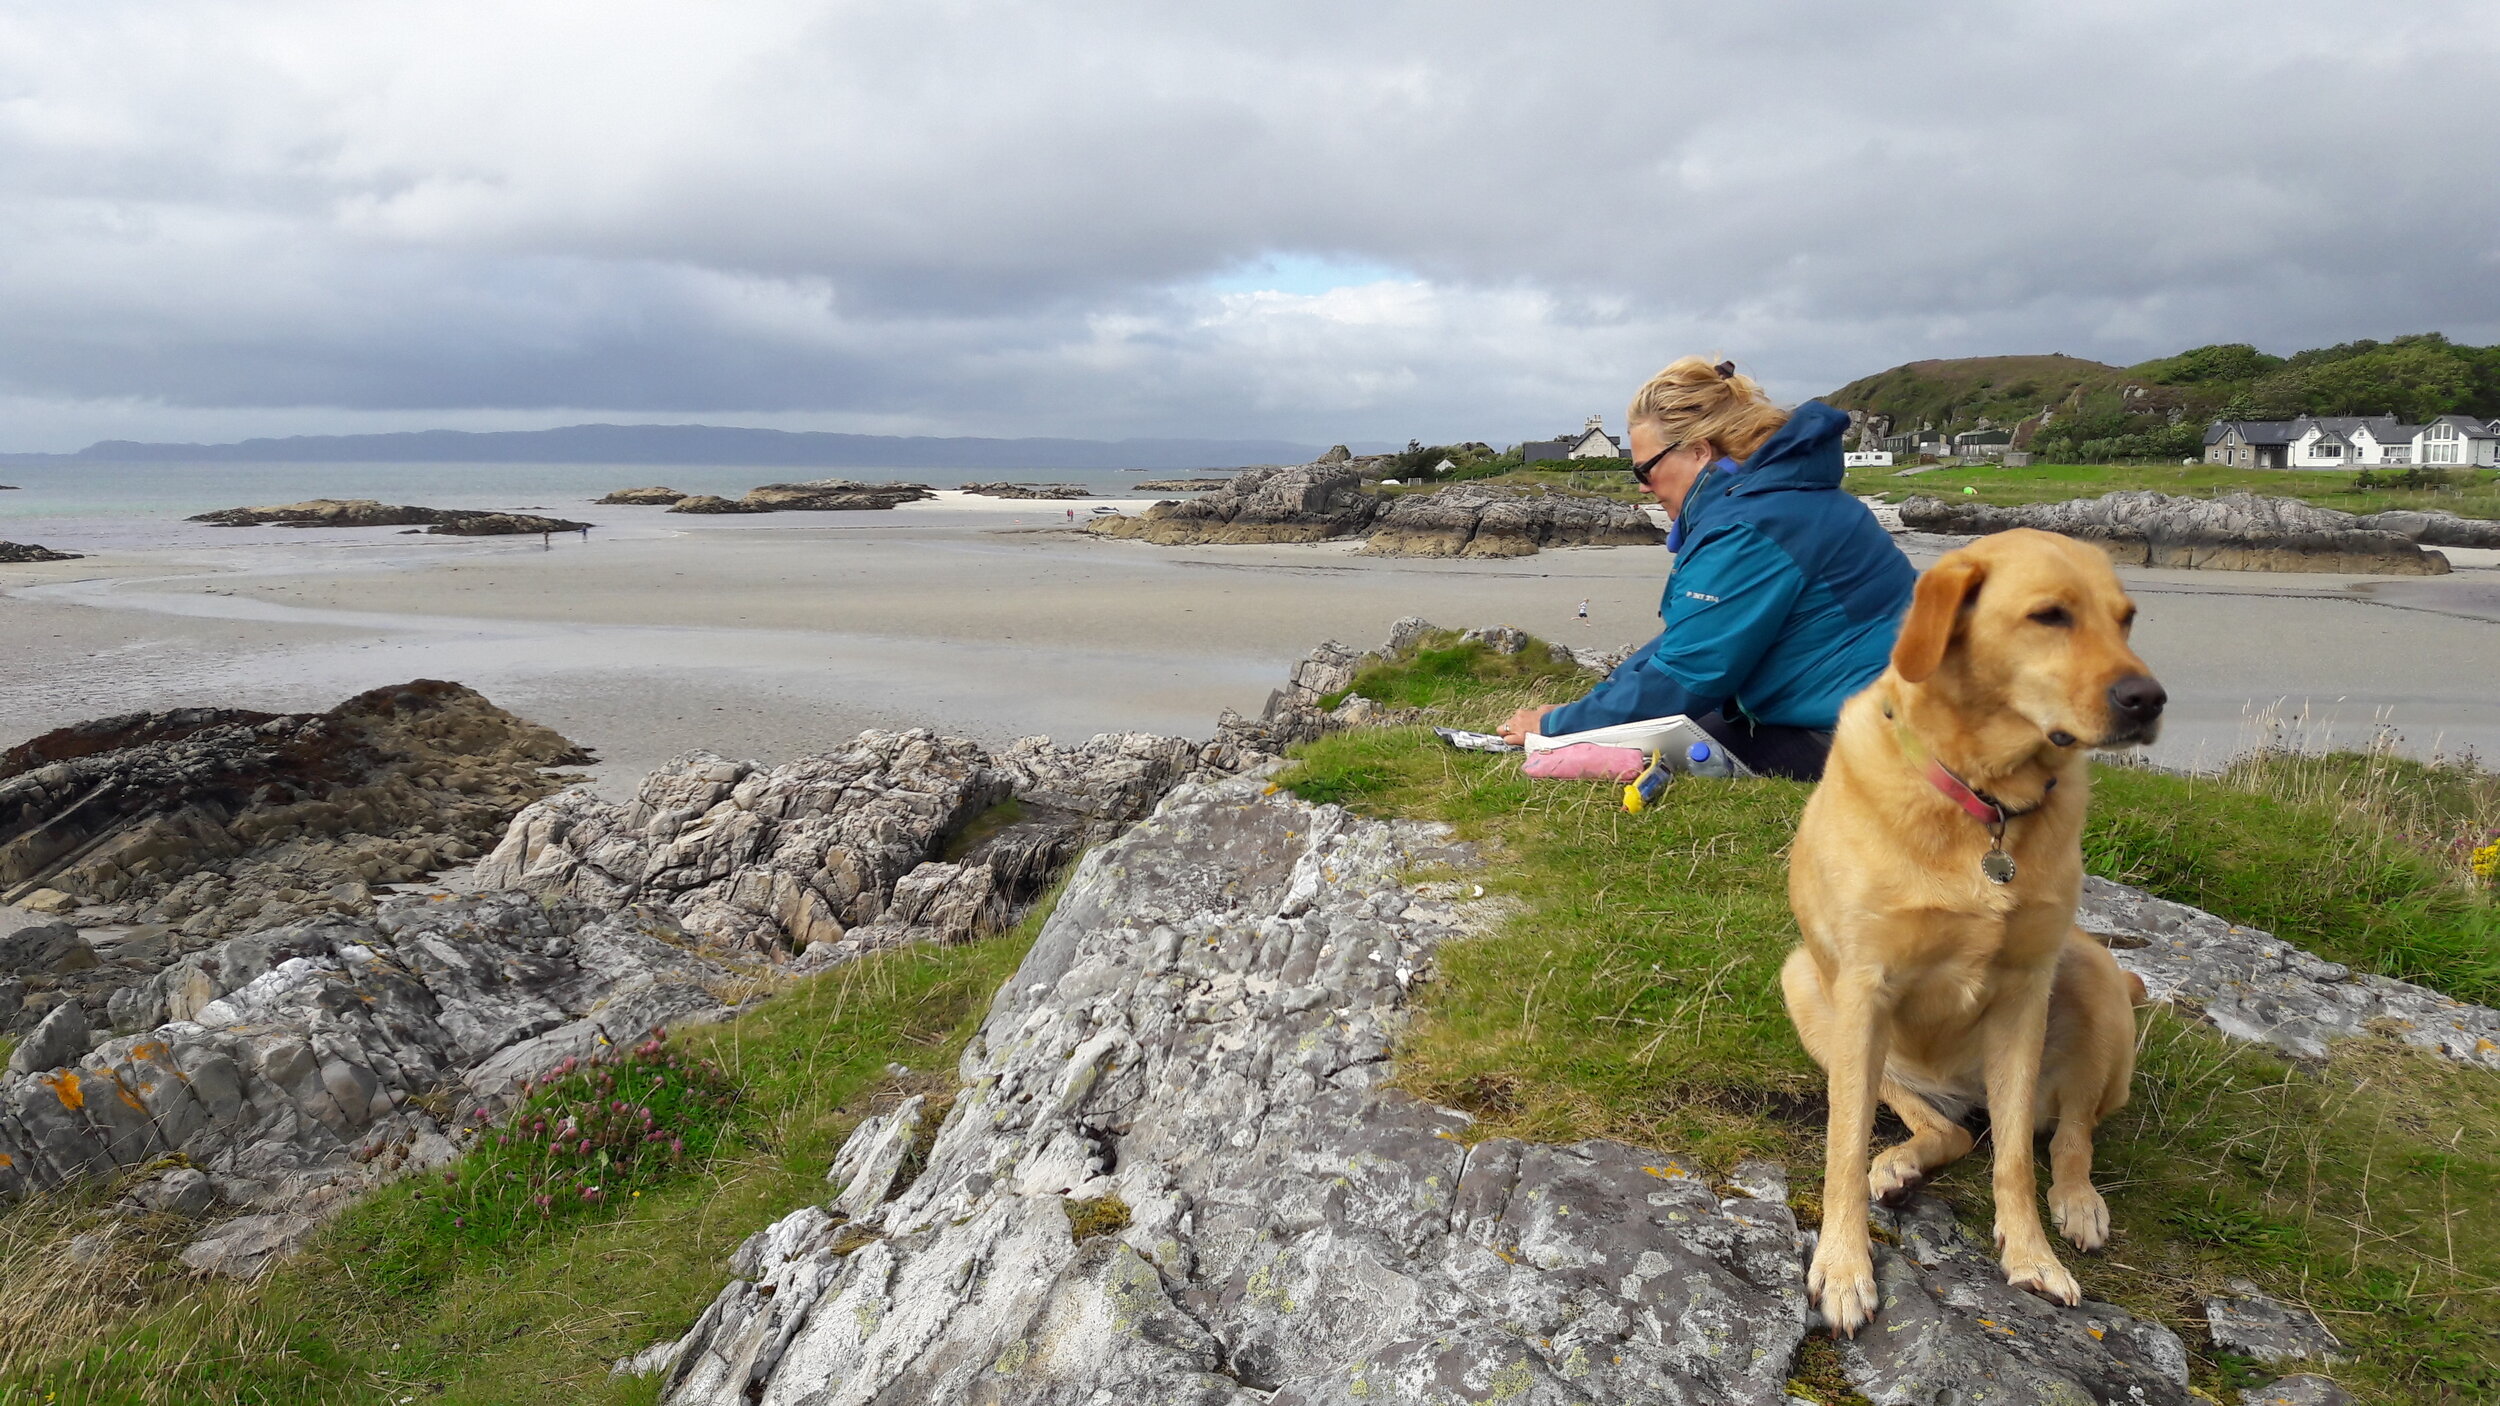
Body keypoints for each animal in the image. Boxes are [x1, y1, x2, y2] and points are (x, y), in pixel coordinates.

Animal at [1790, 525, 2160, 1320]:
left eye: (2127, 620)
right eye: (2050, 615)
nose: (2148, 699)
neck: (1985, 802)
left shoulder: (2024, 993)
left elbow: (2018, 1156)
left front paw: (2031, 1255)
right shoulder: (1863, 988)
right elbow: (1843, 1146)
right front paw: (1843, 1264)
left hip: (2090, 975)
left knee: (2071, 1134)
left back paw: (2078, 1204)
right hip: (1806, 985)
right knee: (1944, 1129)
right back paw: (1899, 1164)